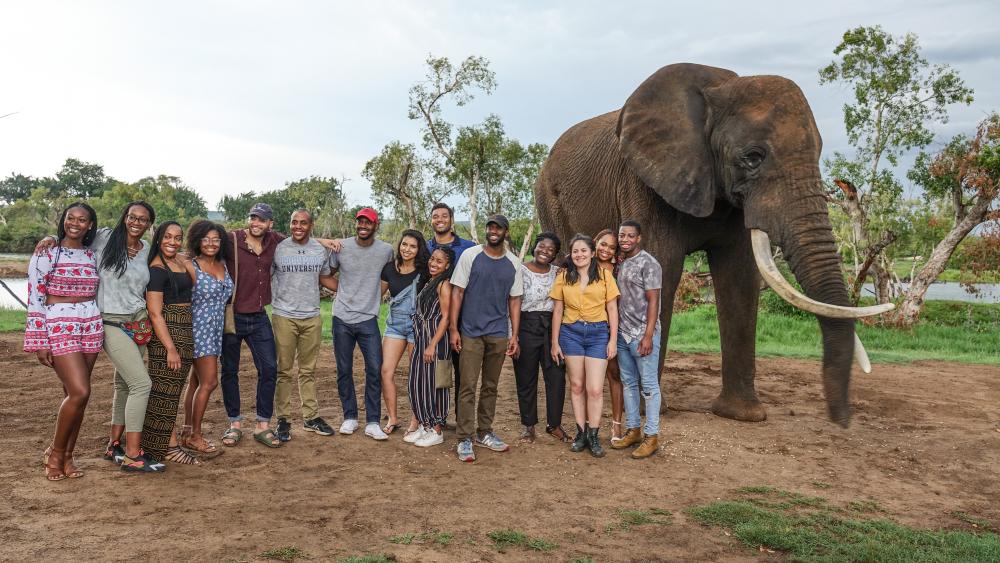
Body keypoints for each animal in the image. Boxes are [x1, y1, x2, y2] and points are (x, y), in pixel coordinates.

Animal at [536, 62, 888, 428]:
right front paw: (652, 409)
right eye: (753, 157)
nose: (841, 419)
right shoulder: (643, 180)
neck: (719, 90)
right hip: (549, 197)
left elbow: (739, 275)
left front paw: (744, 415)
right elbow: (664, 266)